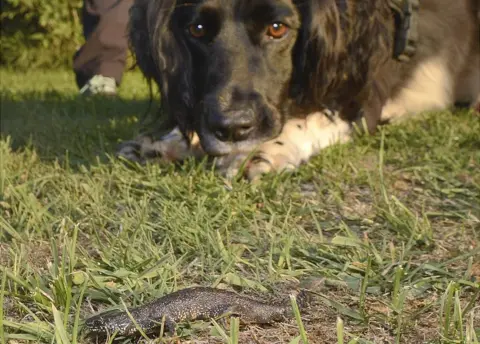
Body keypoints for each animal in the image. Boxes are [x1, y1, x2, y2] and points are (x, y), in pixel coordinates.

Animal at [117, 0, 480, 181]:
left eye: (278, 28)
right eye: (197, 29)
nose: (232, 129)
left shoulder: (362, 94)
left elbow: (313, 117)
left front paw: (264, 150)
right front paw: (172, 141)